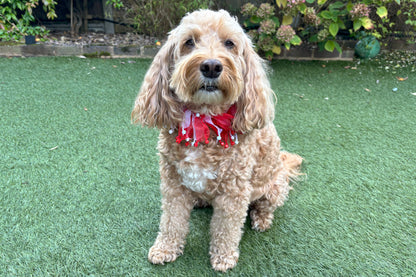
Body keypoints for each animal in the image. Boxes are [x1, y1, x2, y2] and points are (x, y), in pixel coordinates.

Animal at [132, 9, 302, 272]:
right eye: (189, 42)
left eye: (230, 43)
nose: (211, 66)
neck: (205, 119)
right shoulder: (173, 183)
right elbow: (172, 220)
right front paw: (165, 248)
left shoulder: (234, 191)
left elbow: (226, 228)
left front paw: (223, 257)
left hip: (274, 185)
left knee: (265, 204)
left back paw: (262, 219)